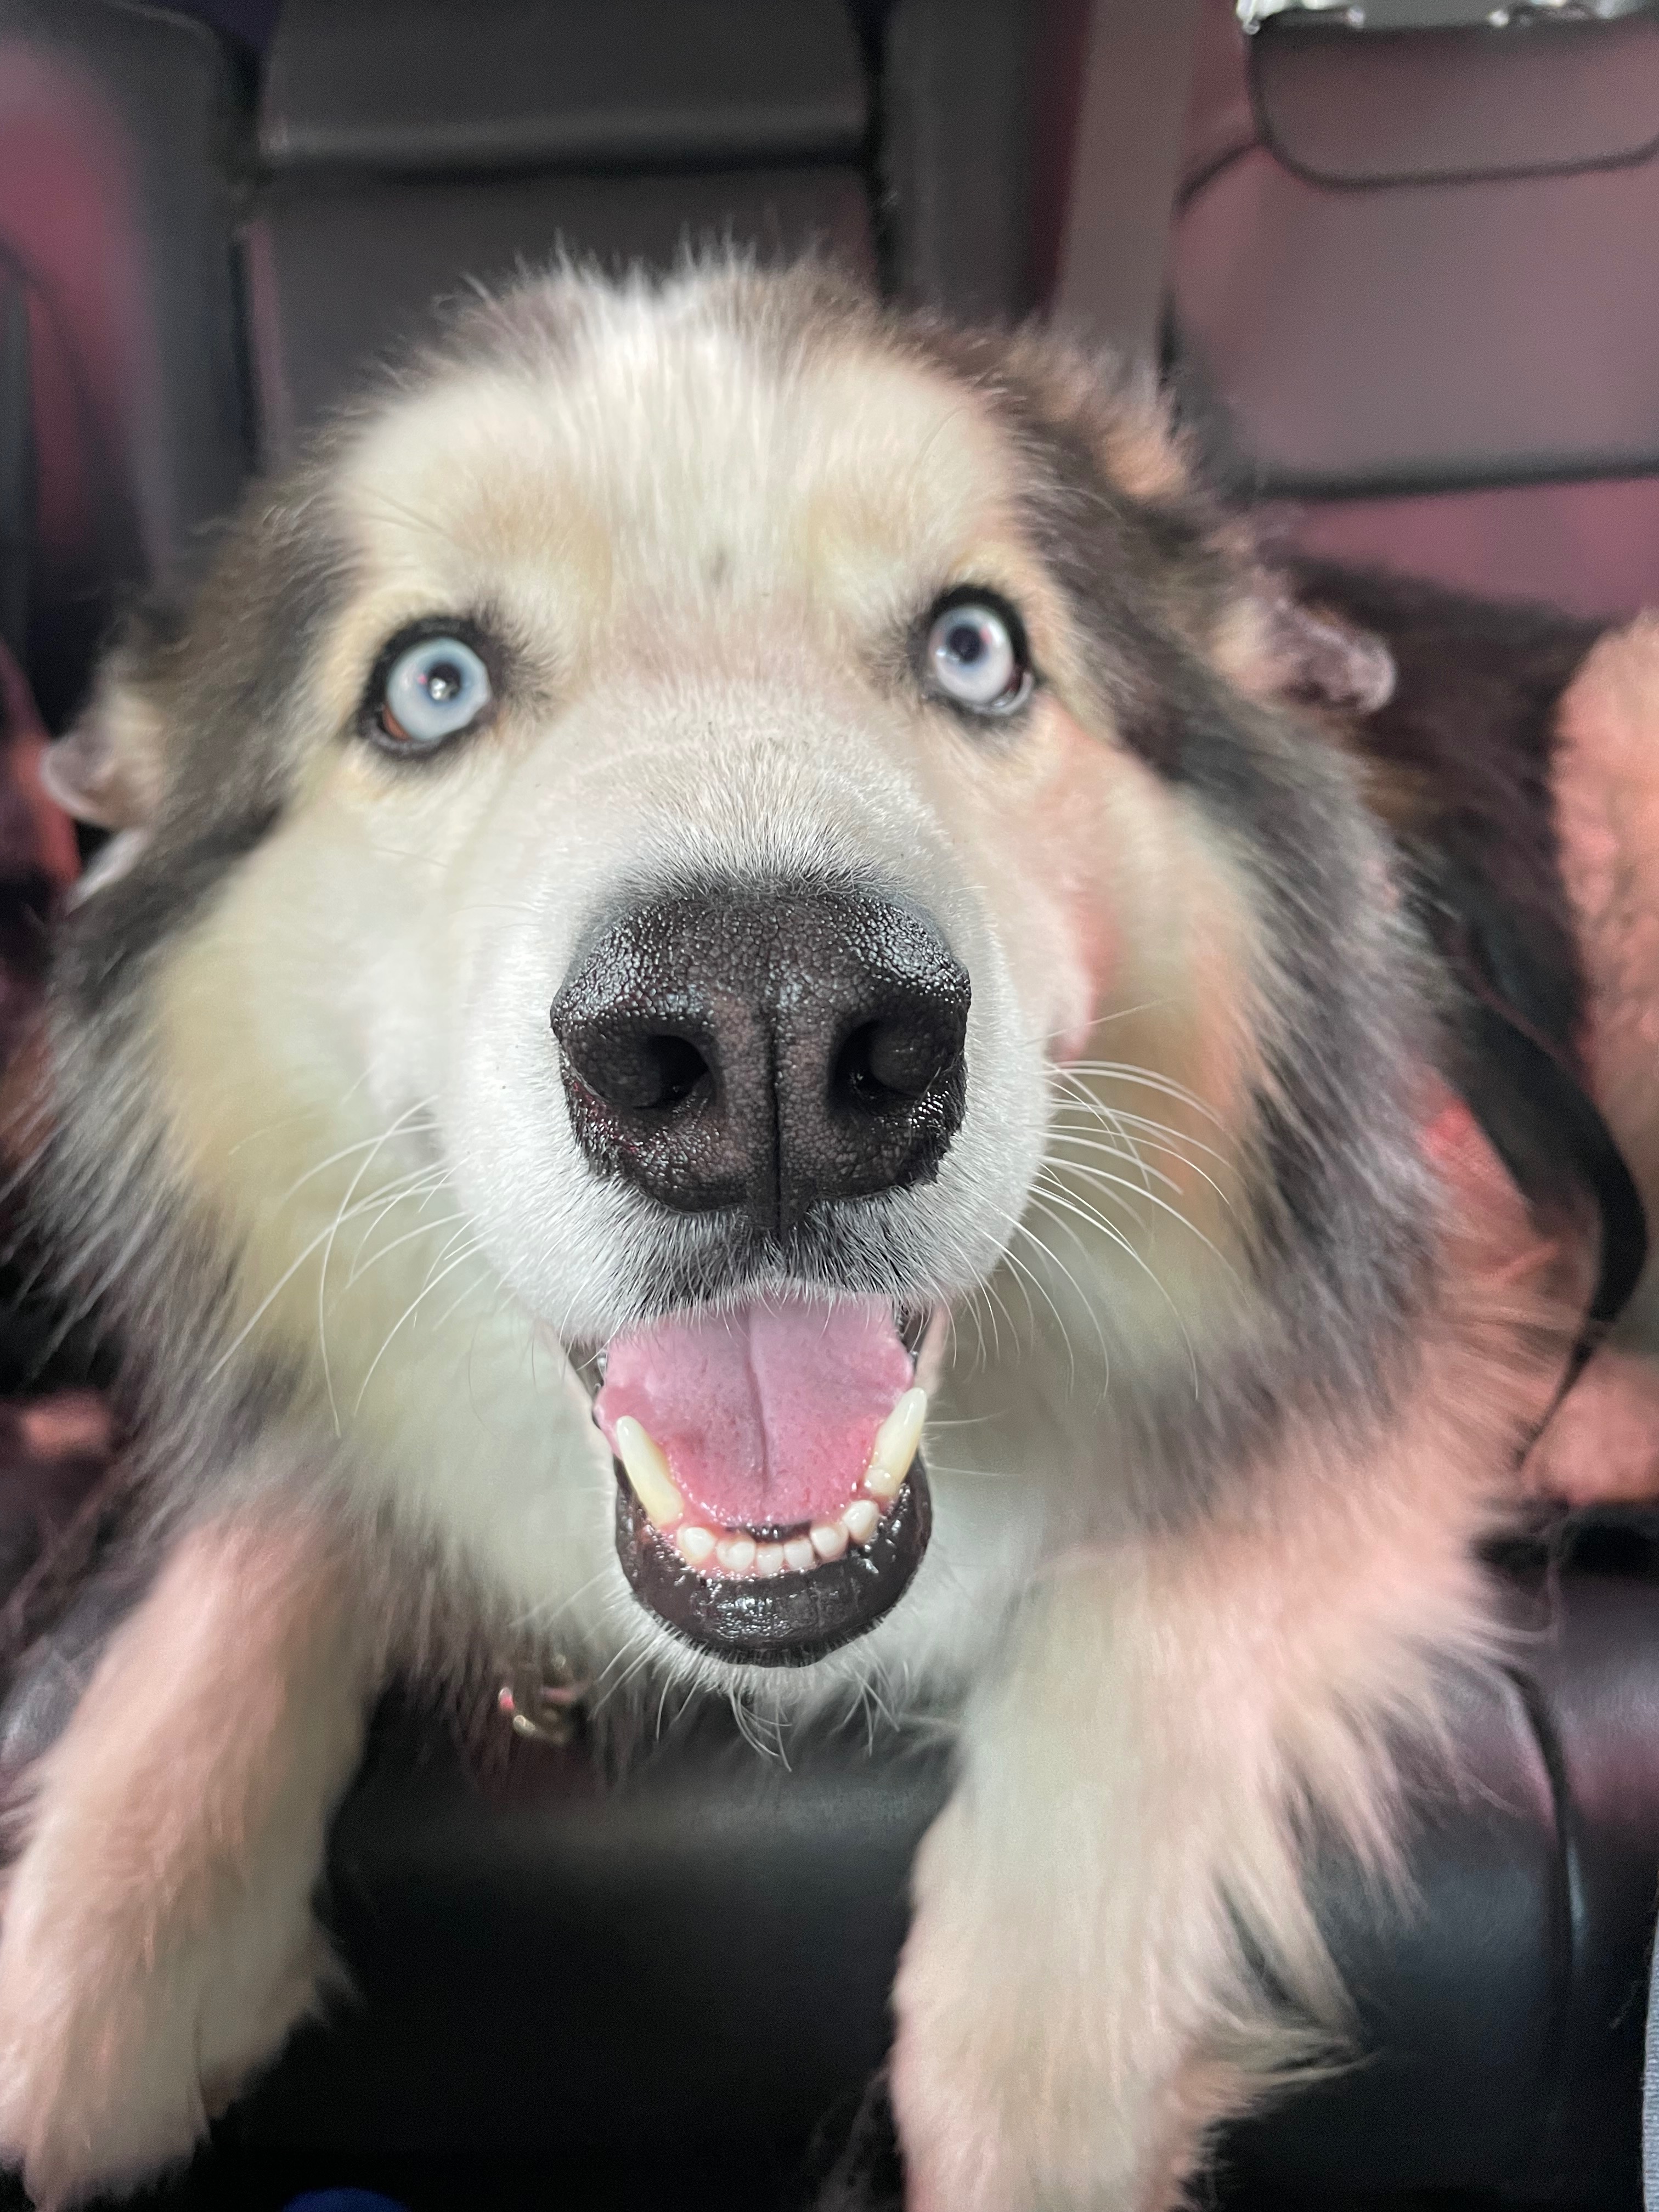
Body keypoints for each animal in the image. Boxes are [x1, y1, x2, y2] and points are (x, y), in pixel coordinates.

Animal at [0, 257, 1655, 2209]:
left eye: (976, 649)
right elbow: (265, 1531)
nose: (767, 1040)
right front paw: (95, 1951)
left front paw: (1041, 2084)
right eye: (430, 686)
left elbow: (1159, 1589)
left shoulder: (1429, 1290)